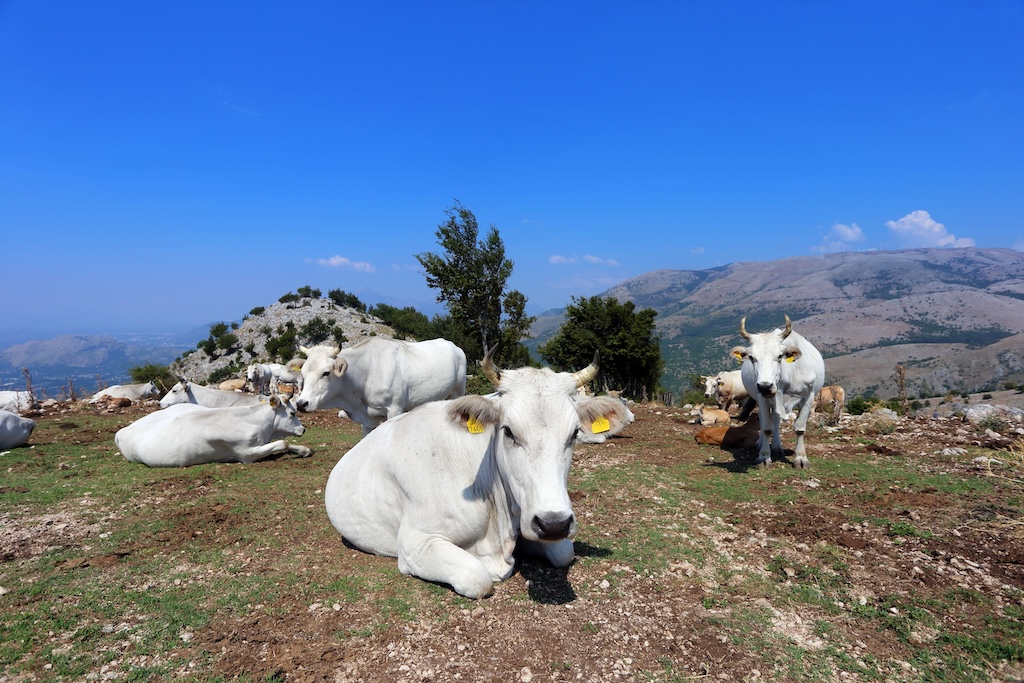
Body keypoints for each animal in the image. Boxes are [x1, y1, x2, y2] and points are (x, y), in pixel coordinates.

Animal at [113, 395, 309, 471]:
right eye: (292, 413)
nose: (303, 429)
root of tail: (123, 430)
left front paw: (304, 449)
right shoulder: (246, 453)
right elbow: (283, 443)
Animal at [296, 337, 468, 438]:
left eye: (326, 373)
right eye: (303, 373)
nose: (301, 403)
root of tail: (454, 346)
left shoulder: (394, 409)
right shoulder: (367, 420)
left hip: (459, 390)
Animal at [323, 350, 634, 593]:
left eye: (574, 433)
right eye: (508, 431)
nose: (553, 523)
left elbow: (564, 551)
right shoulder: (416, 542)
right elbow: (477, 577)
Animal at [733, 317, 827, 471]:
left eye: (779, 356)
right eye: (752, 357)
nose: (765, 386)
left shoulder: (809, 396)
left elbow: (800, 428)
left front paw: (801, 458)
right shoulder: (762, 397)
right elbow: (766, 428)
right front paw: (764, 456)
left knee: (776, 420)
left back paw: (777, 446)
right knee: (767, 420)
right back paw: (763, 444)